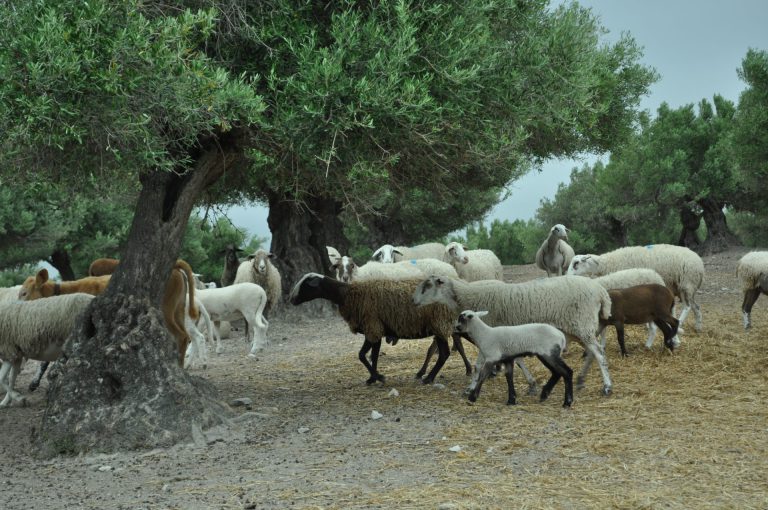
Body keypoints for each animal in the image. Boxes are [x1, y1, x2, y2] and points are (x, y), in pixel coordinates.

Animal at [288, 272, 456, 384]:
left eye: (305, 284)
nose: (291, 299)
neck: (347, 294)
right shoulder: (375, 330)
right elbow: (373, 356)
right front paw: (372, 378)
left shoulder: (372, 327)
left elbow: (362, 355)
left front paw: (378, 377)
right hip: (439, 326)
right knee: (441, 353)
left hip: (440, 323)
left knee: (444, 354)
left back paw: (429, 378)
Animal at [412, 274, 616, 394]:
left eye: (428, 285)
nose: (413, 301)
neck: (465, 296)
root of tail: (601, 291)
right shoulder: (509, 337)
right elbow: (517, 360)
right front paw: (531, 384)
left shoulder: (490, 336)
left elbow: (478, 366)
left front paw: (471, 387)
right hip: (580, 329)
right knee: (593, 351)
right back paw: (581, 380)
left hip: (582, 324)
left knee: (599, 353)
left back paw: (607, 386)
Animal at [568, 245, 704, 332]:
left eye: (576, 263)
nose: (566, 276)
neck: (605, 264)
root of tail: (699, 262)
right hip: (682, 287)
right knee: (696, 306)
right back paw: (698, 326)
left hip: (687, 284)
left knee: (688, 306)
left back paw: (680, 324)